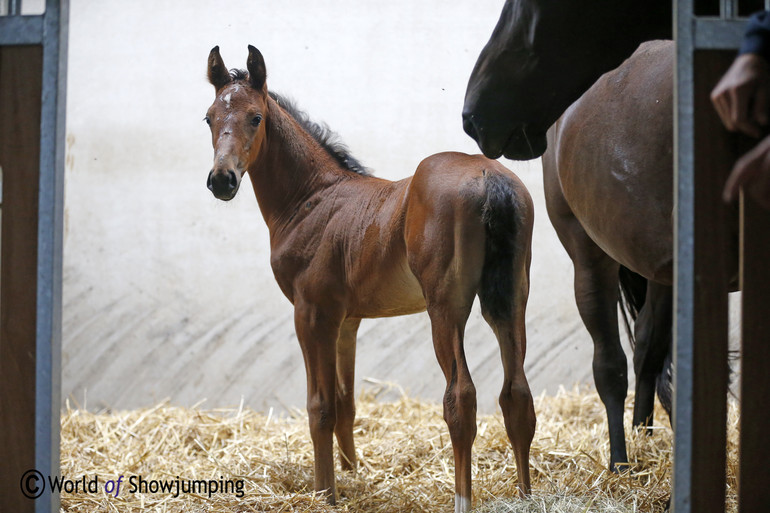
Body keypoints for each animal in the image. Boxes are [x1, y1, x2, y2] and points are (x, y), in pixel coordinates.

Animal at [202, 46, 536, 510]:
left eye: (255, 117)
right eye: (209, 118)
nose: (222, 180)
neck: (311, 199)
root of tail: (490, 177)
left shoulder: (312, 314)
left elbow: (320, 407)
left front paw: (325, 493)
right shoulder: (347, 321)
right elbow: (346, 402)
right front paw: (351, 475)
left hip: (446, 307)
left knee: (461, 398)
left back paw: (463, 498)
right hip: (510, 300)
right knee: (517, 393)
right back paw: (525, 495)